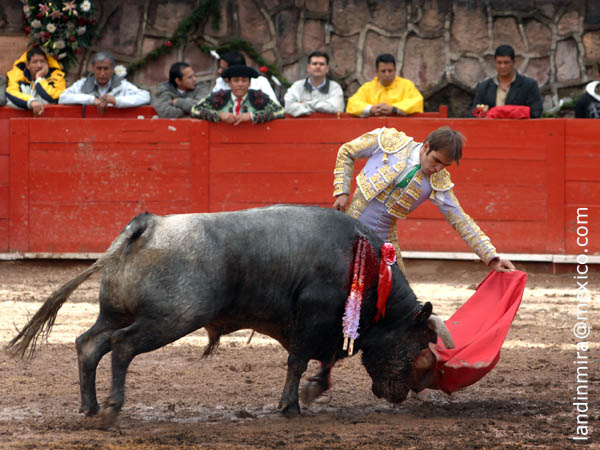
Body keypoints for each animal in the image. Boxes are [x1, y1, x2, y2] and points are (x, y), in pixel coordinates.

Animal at [6, 205, 453, 428]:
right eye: (417, 343)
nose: (400, 395)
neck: (365, 266)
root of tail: (148, 225)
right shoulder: (313, 317)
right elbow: (300, 361)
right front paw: (292, 404)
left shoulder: (320, 328)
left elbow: (323, 361)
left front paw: (310, 392)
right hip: (171, 319)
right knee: (121, 347)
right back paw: (113, 408)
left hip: (114, 312)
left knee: (89, 344)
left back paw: (90, 406)